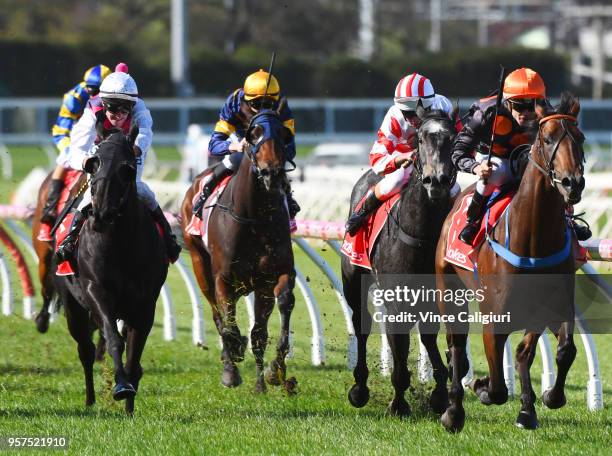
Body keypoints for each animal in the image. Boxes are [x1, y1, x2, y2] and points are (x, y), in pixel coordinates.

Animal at [52, 128, 166, 414]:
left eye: (127, 168)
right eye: (93, 163)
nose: (101, 212)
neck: (119, 244)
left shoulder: (144, 305)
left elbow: (134, 356)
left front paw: (130, 403)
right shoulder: (97, 292)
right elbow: (114, 340)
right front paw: (121, 386)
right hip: (73, 306)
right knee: (86, 349)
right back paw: (90, 399)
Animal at [180, 108, 298, 392]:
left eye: (284, 133)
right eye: (253, 134)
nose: (271, 173)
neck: (254, 217)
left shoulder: (274, 276)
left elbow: (269, 322)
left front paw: (271, 375)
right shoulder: (224, 278)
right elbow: (230, 326)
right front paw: (232, 366)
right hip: (200, 265)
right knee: (217, 315)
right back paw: (229, 362)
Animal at [342, 107, 456, 416]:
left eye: (453, 138)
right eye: (420, 138)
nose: (436, 180)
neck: (421, 235)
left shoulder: (437, 295)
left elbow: (429, 336)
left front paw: (440, 393)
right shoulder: (396, 299)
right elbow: (399, 346)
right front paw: (399, 403)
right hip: (353, 280)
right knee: (362, 324)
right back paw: (359, 388)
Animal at [438, 92, 584, 432]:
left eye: (581, 138)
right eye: (547, 138)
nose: (572, 183)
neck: (533, 239)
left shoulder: (552, 306)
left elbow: (559, 350)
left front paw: (546, 398)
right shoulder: (494, 319)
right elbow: (496, 387)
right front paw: (479, 388)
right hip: (447, 288)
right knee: (455, 346)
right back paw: (453, 411)